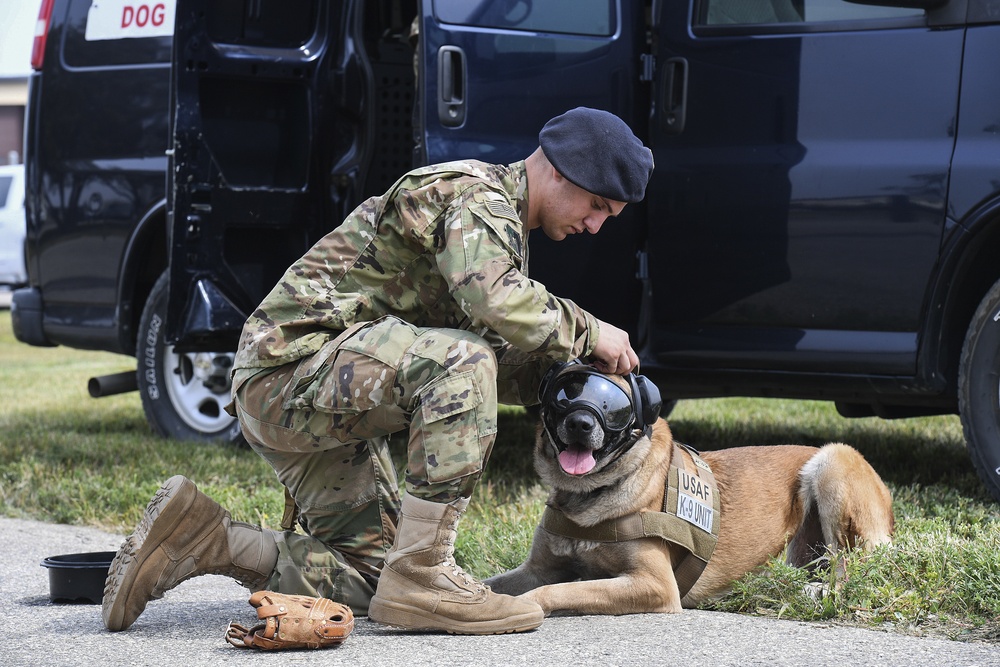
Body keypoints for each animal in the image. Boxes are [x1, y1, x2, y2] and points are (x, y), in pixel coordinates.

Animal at [482, 366, 892, 616]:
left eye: (614, 406)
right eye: (565, 395)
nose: (580, 423)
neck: (588, 495)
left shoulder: (654, 584)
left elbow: (560, 590)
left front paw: (527, 606)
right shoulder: (537, 569)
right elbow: (494, 583)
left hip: (833, 461)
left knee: (847, 567)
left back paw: (815, 592)